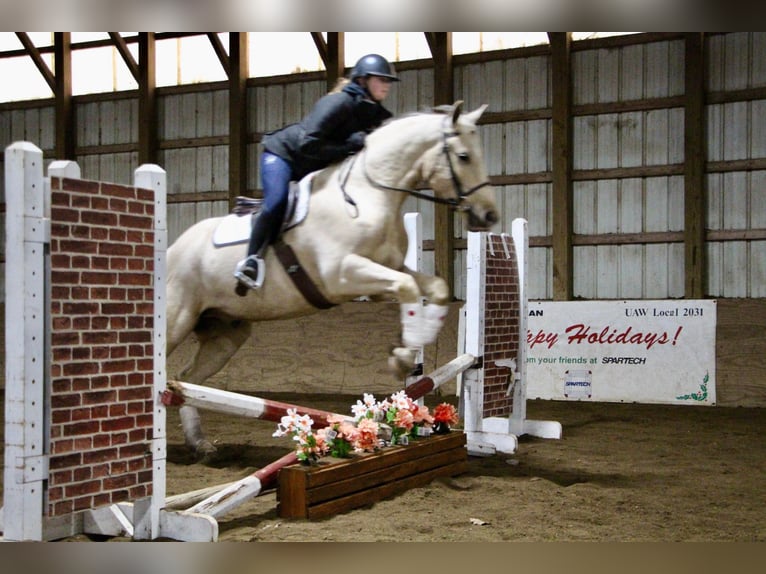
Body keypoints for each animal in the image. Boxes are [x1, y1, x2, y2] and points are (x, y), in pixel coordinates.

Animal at [167, 100, 498, 460]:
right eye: (464, 156)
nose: (489, 215)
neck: (369, 194)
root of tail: (170, 248)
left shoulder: (387, 273)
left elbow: (433, 287)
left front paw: (414, 345)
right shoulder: (342, 276)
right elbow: (408, 287)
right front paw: (403, 357)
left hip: (225, 335)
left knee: (187, 379)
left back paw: (199, 443)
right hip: (176, 320)